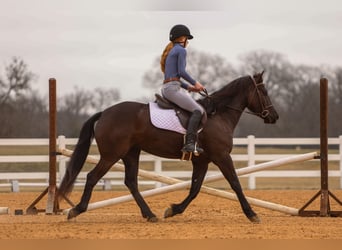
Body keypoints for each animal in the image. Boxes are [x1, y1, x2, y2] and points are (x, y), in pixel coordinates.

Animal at [58, 71, 278, 224]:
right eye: (264, 92)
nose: (274, 116)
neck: (218, 115)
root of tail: (104, 113)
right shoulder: (221, 156)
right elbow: (235, 183)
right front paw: (252, 214)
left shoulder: (202, 161)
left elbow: (195, 188)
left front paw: (173, 210)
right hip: (111, 155)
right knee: (92, 177)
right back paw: (76, 210)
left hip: (131, 153)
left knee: (131, 182)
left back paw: (149, 214)